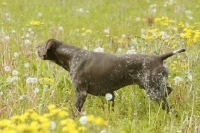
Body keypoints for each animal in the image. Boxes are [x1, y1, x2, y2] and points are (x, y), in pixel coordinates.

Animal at [37, 38, 184, 113]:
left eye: (42, 45)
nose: (36, 47)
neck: (72, 56)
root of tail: (159, 58)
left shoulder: (81, 93)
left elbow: (76, 111)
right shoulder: (110, 94)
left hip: (154, 93)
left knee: (171, 109)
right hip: (156, 88)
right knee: (168, 91)